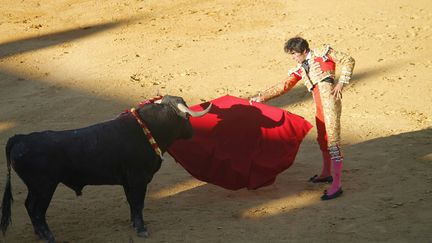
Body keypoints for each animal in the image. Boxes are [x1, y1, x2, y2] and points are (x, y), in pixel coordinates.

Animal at [0, 96, 211, 242]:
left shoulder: (128, 181)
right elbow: (138, 204)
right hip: (44, 187)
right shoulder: (139, 180)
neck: (148, 129)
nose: (192, 132)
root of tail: (20, 138)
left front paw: (134, 224)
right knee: (36, 210)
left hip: (36, 188)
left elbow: (132, 204)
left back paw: (39, 233)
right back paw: (48, 236)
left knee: (29, 206)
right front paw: (142, 229)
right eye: (186, 117)